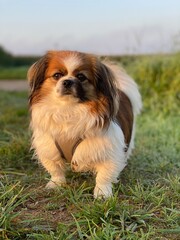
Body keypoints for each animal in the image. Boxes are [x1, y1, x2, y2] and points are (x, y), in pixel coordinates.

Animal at [27, 49, 142, 198]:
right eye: (57, 75)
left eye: (81, 77)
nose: (67, 82)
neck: (68, 109)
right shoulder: (49, 147)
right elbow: (55, 168)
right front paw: (56, 184)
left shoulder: (109, 150)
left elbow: (105, 175)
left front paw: (102, 193)